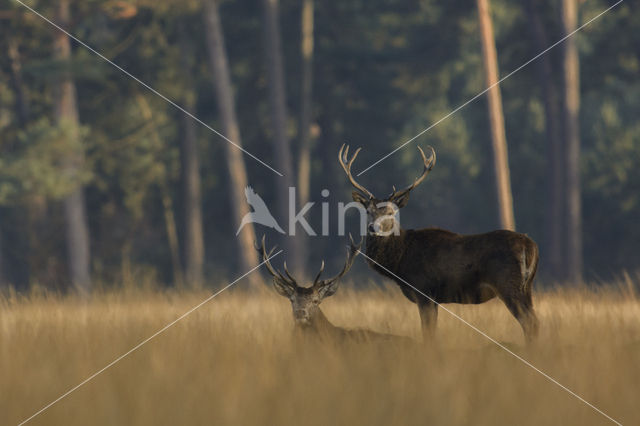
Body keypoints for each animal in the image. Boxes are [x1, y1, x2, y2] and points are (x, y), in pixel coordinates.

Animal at [340, 146, 540, 342]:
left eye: (391, 212)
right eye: (368, 211)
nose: (373, 227)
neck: (399, 262)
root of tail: (531, 247)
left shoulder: (424, 291)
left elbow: (428, 334)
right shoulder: (433, 298)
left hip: (508, 284)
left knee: (530, 322)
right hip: (527, 287)